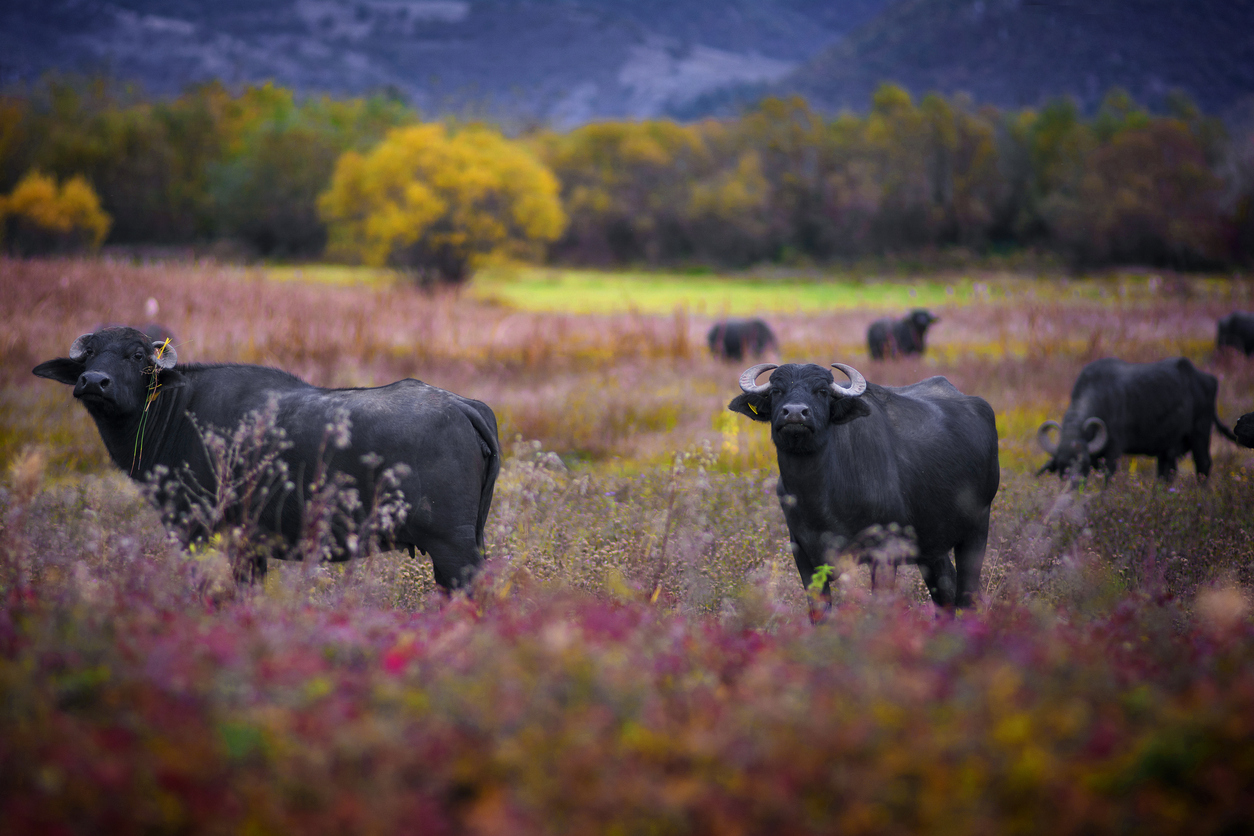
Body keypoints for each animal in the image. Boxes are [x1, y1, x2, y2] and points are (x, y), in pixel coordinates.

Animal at [33, 325, 499, 589]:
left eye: (135, 356)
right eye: (90, 355)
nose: (95, 381)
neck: (178, 412)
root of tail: (461, 404)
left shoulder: (200, 534)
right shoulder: (250, 548)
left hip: (453, 549)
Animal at [727, 363, 998, 611]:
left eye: (822, 391)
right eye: (776, 391)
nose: (794, 413)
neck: (820, 499)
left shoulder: (885, 553)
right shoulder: (803, 555)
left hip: (977, 528)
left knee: (966, 595)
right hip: (933, 543)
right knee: (945, 590)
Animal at [1033, 355, 1238, 483]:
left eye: (1083, 464)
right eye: (1062, 468)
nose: (1074, 484)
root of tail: (1207, 379)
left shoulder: (1113, 452)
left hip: (1200, 433)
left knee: (1203, 466)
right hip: (1167, 448)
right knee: (1167, 473)